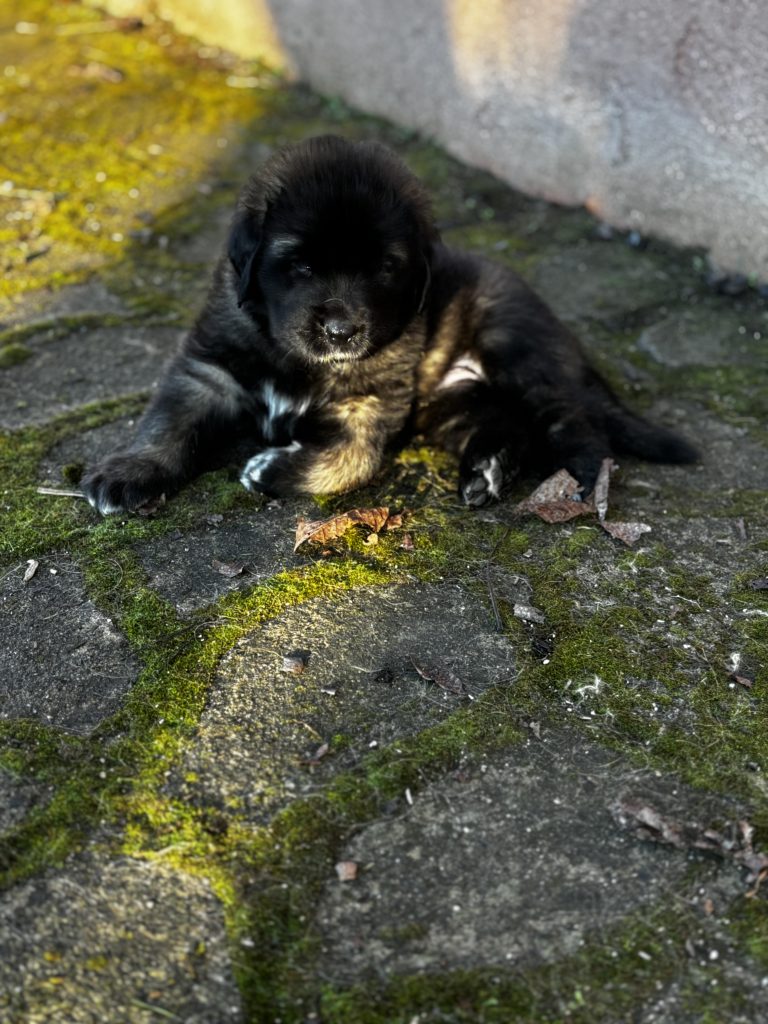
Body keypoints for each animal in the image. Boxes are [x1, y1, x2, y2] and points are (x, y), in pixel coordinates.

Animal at [82, 135, 695, 514]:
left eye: (383, 268)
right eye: (300, 266)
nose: (341, 331)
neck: (293, 357)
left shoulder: (371, 404)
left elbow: (349, 461)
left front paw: (271, 470)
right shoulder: (208, 367)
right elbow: (168, 423)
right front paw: (129, 472)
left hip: (519, 349)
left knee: (574, 422)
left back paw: (583, 485)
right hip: (451, 402)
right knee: (508, 424)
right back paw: (487, 472)